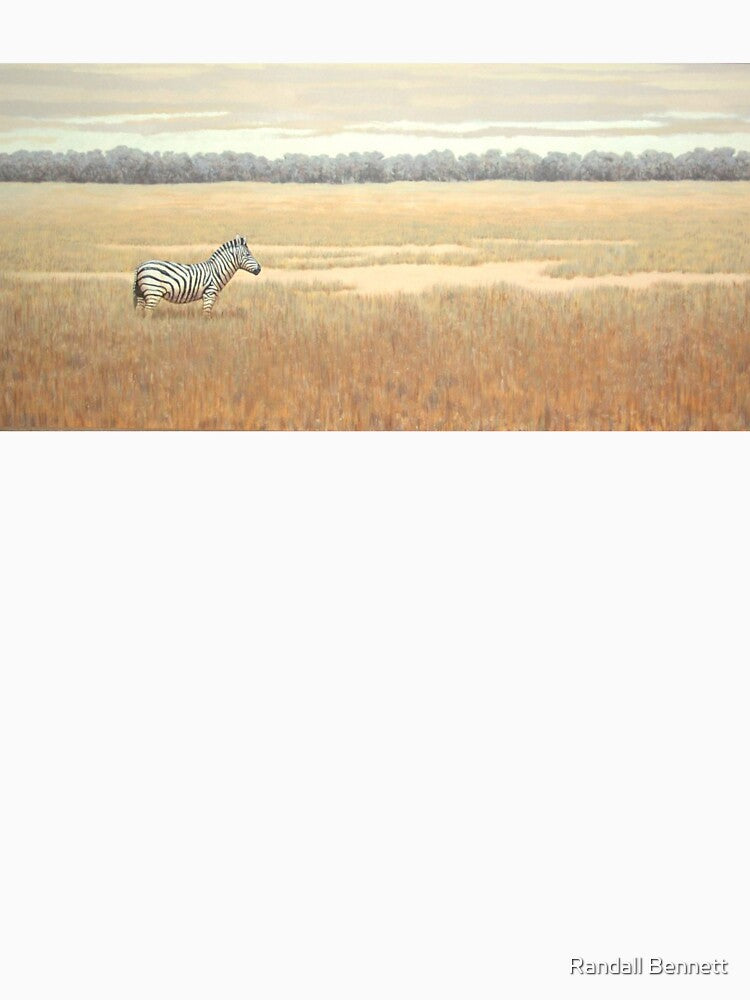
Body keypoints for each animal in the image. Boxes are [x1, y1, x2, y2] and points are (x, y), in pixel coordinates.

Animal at [132, 235, 261, 316]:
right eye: (248, 254)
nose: (259, 269)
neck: (217, 270)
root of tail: (140, 266)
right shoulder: (209, 294)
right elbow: (206, 315)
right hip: (153, 292)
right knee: (148, 313)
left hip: (141, 293)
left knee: (139, 312)